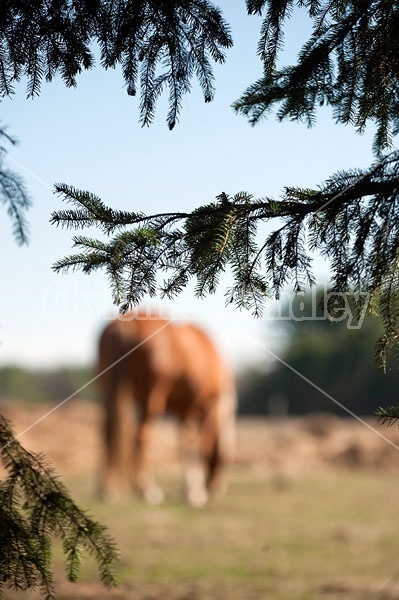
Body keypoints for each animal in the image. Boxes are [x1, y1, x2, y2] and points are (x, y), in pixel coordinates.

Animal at [96, 314, 236, 506]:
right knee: (141, 435)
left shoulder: (185, 411)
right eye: (226, 459)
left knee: (107, 433)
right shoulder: (201, 409)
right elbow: (198, 447)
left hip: (109, 392)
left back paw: (107, 489)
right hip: (152, 400)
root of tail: (126, 325)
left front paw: (190, 488)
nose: (217, 487)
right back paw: (147, 489)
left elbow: (186, 445)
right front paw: (196, 492)